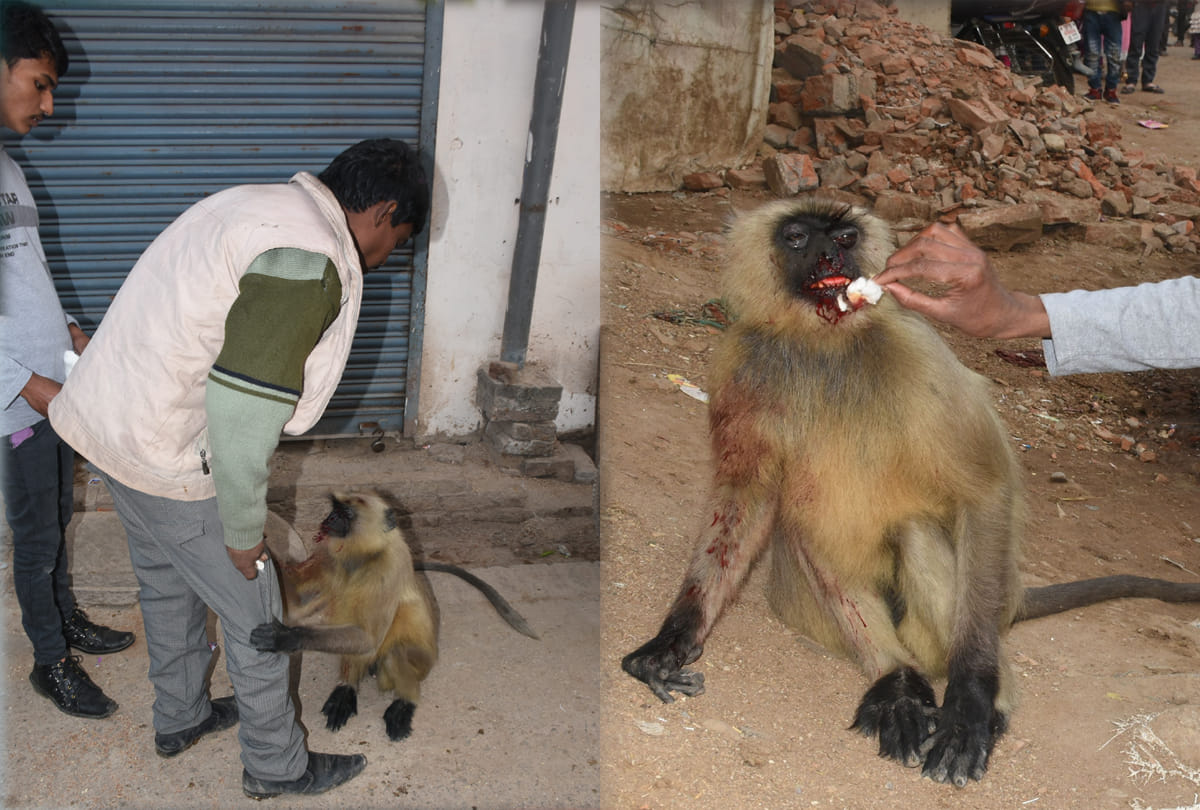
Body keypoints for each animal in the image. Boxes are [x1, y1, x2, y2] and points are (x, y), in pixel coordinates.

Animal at [251, 491, 538, 741]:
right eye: (335, 510)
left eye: (345, 513)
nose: (329, 519)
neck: (363, 557)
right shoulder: (328, 556)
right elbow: (295, 604)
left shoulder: (387, 568)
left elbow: (368, 638)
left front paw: (285, 638)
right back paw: (347, 688)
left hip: (422, 664)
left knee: (391, 651)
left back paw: (404, 701)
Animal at [621, 195, 1200, 787]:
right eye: (799, 238)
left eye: (845, 237)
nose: (831, 256)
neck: (824, 341)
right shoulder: (743, 359)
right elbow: (747, 494)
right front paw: (675, 637)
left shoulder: (916, 345)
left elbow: (985, 492)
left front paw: (972, 699)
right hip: (807, 612)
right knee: (809, 528)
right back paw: (896, 683)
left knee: (919, 531)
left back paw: (987, 703)